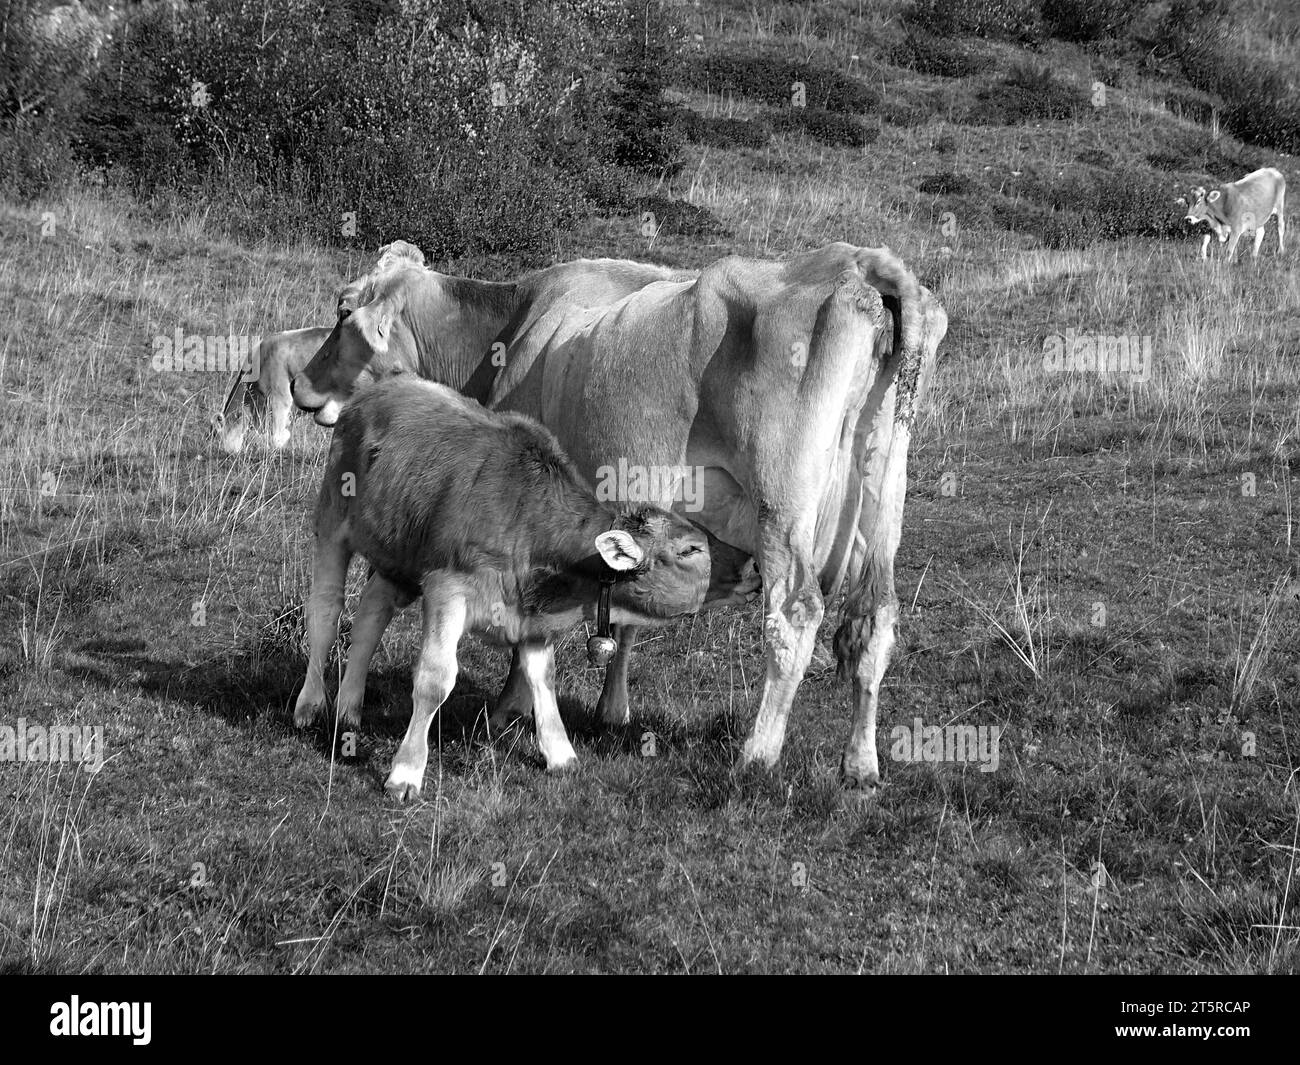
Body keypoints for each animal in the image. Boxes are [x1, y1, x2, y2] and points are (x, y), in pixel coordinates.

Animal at [293, 376, 716, 800]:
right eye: (689, 550)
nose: (717, 580)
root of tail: (381, 386)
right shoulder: (447, 587)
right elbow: (434, 679)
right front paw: (406, 771)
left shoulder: (530, 618)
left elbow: (543, 679)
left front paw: (560, 753)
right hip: (333, 523)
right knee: (325, 612)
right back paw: (311, 704)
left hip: (398, 555)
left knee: (371, 615)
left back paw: (349, 709)